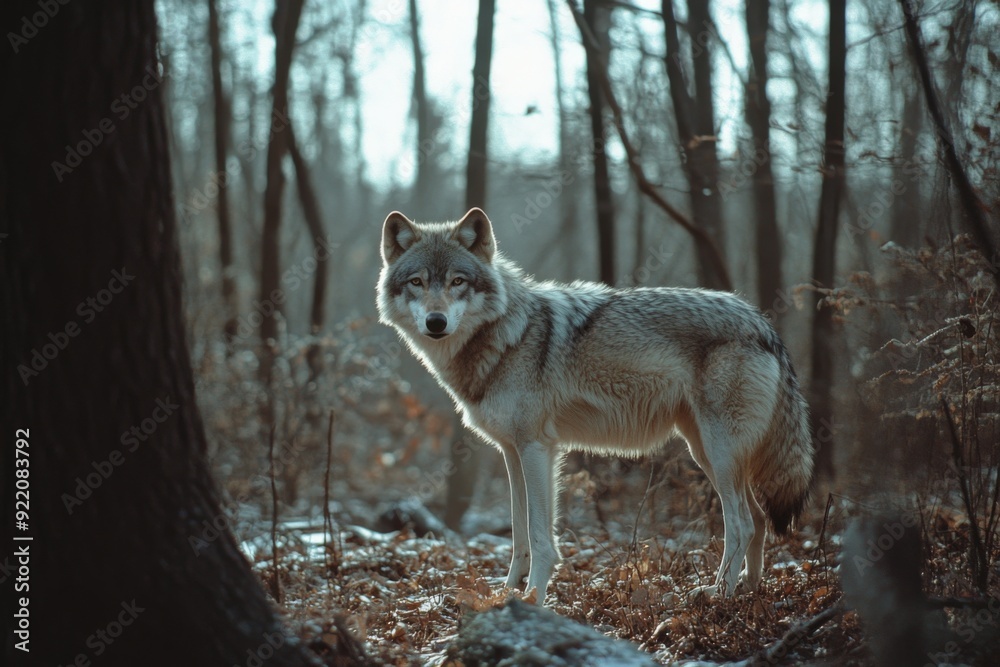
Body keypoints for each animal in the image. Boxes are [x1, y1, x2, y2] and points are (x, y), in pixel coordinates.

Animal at [376, 208, 814, 602]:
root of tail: (763, 324)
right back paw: (750, 591)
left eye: (457, 281)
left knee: (741, 523)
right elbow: (518, 533)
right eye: (417, 282)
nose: (435, 322)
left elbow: (540, 535)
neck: (508, 335)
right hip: (706, 452)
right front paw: (506, 593)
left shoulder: (537, 449)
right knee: (759, 519)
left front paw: (534, 596)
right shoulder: (511, 452)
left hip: (719, 454)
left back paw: (718, 593)